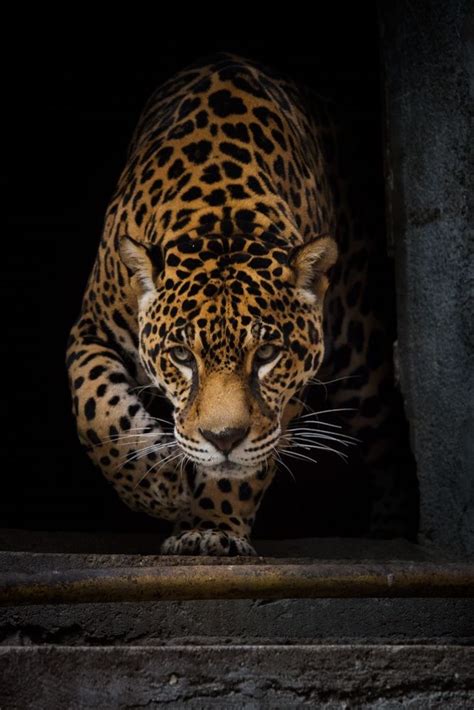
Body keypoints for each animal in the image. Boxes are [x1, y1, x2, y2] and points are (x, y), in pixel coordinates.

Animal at [66, 53, 414, 556]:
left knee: (387, 433)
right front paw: (159, 487)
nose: (223, 438)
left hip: (360, 350)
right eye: (181, 356)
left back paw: (391, 528)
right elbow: (97, 411)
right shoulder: (92, 328)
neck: (221, 216)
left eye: (266, 354)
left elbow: (241, 470)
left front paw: (211, 527)